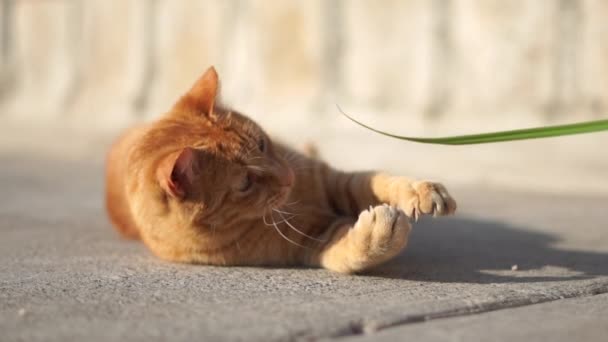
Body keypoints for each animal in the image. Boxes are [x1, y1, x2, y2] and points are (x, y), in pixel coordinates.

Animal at [105, 67, 456, 274]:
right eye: (245, 183)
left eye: (261, 144)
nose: (289, 177)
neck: (298, 198)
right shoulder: (312, 243)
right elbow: (351, 251)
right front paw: (379, 233)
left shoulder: (336, 181)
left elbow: (382, 181)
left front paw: (421, 191)